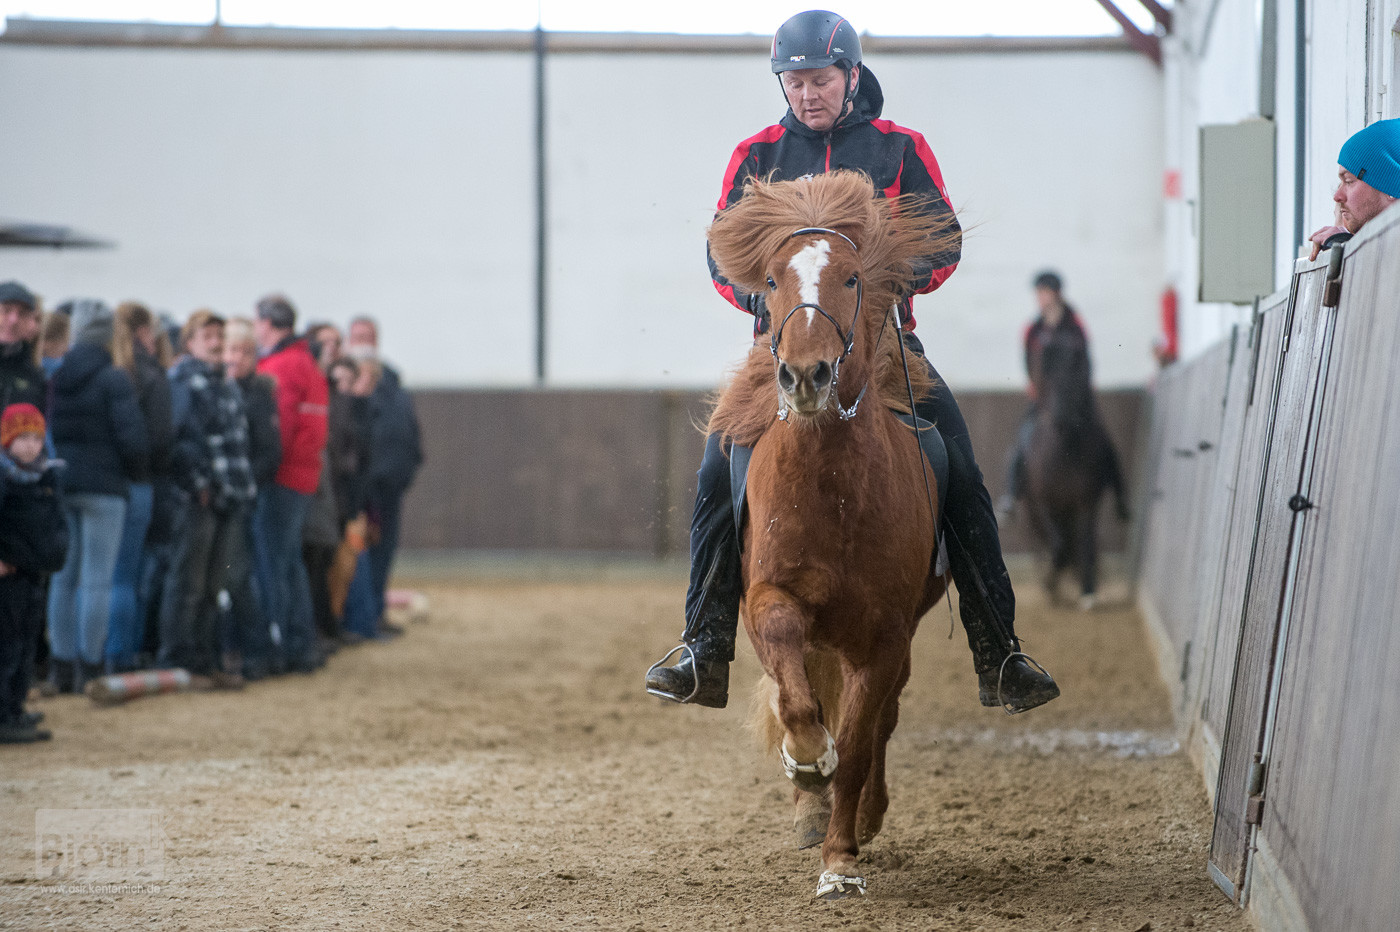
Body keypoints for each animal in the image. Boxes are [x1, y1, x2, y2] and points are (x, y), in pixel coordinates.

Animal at [705, 170, 957, 895]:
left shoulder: (884, 637)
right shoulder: (771, 603)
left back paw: (861, 818)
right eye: (770, 278)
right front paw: (807, 764)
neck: (834, 494)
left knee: (880, 723)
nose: (805, 375)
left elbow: (861, 740)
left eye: (851, 278)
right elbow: (799, 707)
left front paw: (842, 858)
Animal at [1024, 330, 1131, 607]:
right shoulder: (1042, 503)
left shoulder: (1087, 503)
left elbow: (1085, 544)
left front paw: (1087, 590)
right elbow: (1059, 547)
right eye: (1045, 373)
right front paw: (1050, 583)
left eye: (1077, 372)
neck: (1064, 451)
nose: (1061, 418)